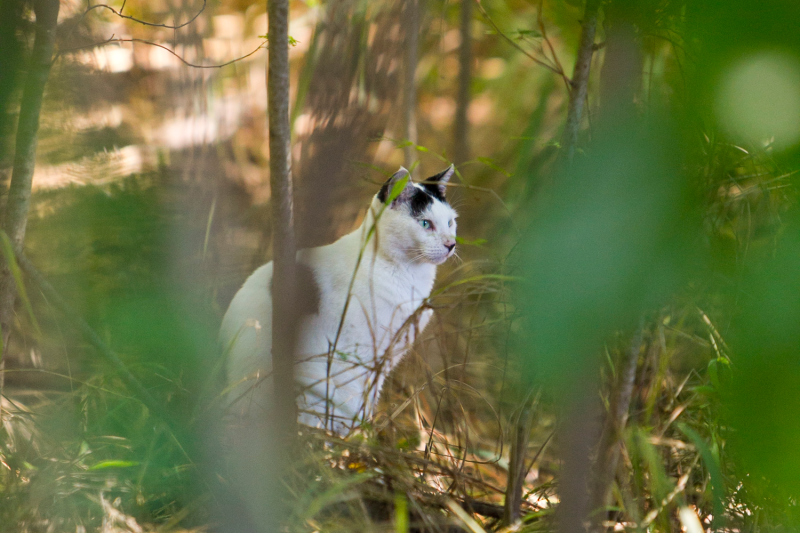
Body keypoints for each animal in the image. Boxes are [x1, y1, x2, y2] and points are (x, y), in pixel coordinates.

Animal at [220, 165, 456, 432]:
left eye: (450, 222)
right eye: (425, 224)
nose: (451, 244)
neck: (406, 275)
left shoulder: (383, 362)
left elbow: (369, 399)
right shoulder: (350, 356)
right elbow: (349, 404)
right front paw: (354, 436)